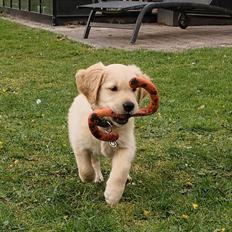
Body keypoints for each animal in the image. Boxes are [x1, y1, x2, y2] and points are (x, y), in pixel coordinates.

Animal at [68, 62, 148, 205]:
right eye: (113, 88)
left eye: (134, 90)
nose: (130, 105)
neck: (107, 125)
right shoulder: (79, 144)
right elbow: (85, 168)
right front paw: (90, 177)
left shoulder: (126, 146)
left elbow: (120, 171)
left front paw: (113, 195)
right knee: (95, 161)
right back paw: (97, 176)